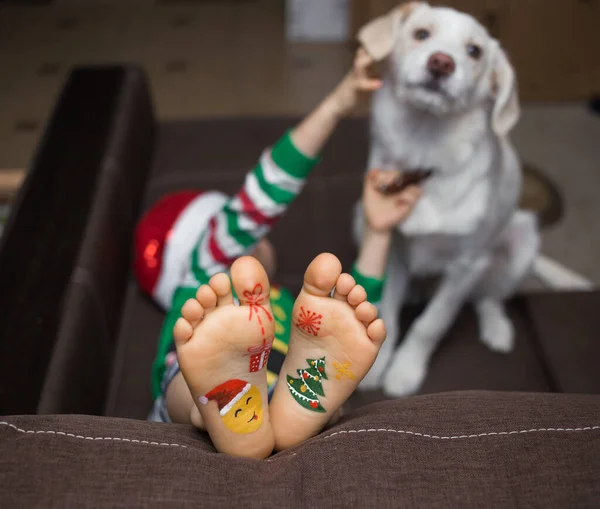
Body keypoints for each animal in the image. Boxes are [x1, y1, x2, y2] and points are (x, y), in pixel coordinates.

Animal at [354, 1, 540, 394]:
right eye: (421, 33)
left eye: (475, 51)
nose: (441, 62)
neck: (426, 148)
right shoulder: (393, 248)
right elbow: (387, 309)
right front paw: (378, 364)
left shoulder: (466, 265)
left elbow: (431, 323)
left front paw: (404, 372)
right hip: (358, 218)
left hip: (522, 242)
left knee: (488, 298)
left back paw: (497, 330)